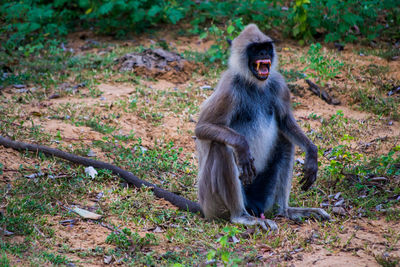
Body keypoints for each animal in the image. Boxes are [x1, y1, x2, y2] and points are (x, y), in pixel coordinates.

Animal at [195, 24, 330, 231]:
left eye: (266, 47)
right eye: (255, 49)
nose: (264, 53)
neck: (254, 83)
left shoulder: (278, 84)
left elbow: (285, 121)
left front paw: (312, 152)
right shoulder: (229, 88)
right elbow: (202, 127)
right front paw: (242, 146)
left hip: (263, 197)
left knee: (285, 141)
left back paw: (285, 211)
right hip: (212, 203)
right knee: (221, 146)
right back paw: (241, 217)